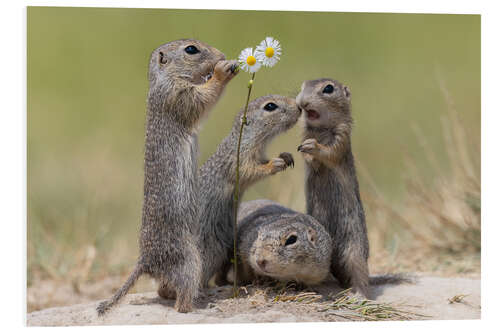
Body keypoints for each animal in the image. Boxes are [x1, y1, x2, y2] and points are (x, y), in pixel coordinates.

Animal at [98, 39, 239, 314]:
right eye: (191, 49)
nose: (222, 55)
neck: (165, 78)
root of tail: (146, 260)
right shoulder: (178, 95)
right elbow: (201, 99)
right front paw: (222, 71)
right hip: (189, 259)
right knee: (180, 300)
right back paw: (198, 306)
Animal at [199, 94, 300, 286]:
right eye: (270, 106)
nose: (299, 107)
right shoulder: (240, 160)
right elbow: (251, 171)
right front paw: (274, 164)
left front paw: (286, 156)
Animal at [296, 79, 372, 296]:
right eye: (302, 86)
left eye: (328, 88)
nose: (302, 102)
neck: (320, 129)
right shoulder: (305, 132)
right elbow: (308, 160)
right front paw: (306, 153)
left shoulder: (342, 136)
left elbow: (330, 152)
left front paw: (313, 147)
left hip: (354, 250)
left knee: (361, 275)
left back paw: (358, 295)